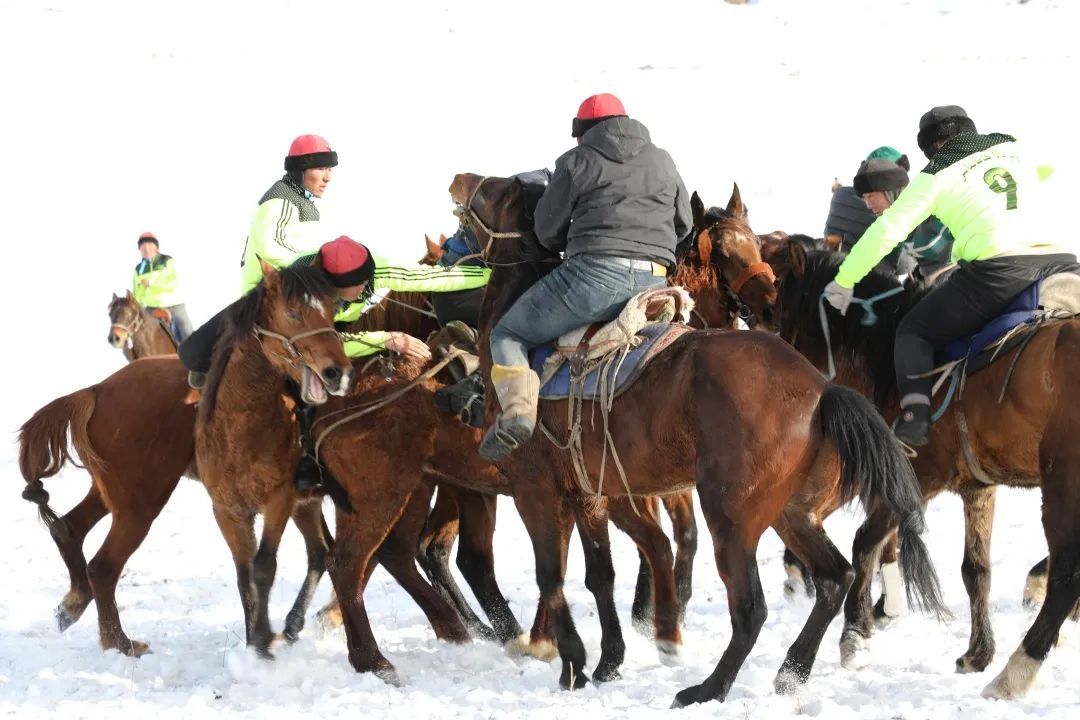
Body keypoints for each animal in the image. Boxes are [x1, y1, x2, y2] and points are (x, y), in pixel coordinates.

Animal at [447, 172, 946, 703]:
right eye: (728, 250)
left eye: (491, 191)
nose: (459, 182)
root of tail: (822, 390)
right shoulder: (591, 494)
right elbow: (601, 575)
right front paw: (608, 660)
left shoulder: (536, 489)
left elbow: (553, 575)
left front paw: (574, 660)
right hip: (792, 511)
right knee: (836, 577)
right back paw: (791, 671)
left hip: (731, 515)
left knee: (751, 608)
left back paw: (708, 687)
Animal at [777, 241, 1080, 699]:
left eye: (776, 312)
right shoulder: (978, 486)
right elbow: (976, 569)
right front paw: (976, 653)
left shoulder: (917, 476)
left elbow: (865, 543)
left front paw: (855, 633)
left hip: (1062, 484)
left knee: (1065, 575)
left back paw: (1016, 671)